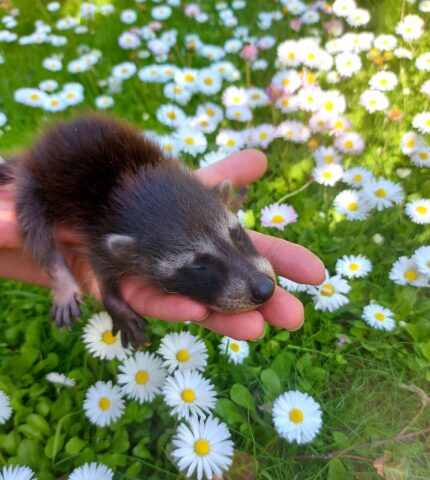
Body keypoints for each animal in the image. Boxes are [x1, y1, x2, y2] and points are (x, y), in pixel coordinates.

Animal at [0, 116, 276, 348]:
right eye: (199, 266)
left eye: (236, 233)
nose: (265, 288)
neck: (130, 182)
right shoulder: (98, 234)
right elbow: (98, 275)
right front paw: (114, 303)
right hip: (33, 183)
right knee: (35, 227)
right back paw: (60, 275)